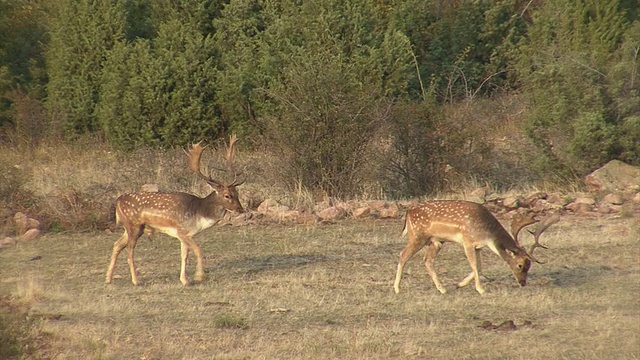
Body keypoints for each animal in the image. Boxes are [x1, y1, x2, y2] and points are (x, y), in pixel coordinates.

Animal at [105, 136, 245, 286]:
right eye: (227, 195)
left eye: (237, 193)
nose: (241, 209)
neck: (199, 213)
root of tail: (118, 200)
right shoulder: (182, 231)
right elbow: (198, 251)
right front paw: (199, 276)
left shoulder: (186, 235)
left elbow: (184, 256)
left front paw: (184, 280)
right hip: (134, 225)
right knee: (129, 251)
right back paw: (136, 281)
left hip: (132, 228)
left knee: (117, 244)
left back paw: (108, 278)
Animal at [390, 200, 556, 296]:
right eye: (520, 264)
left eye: (529, 266)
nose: (523, 283)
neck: (487, 234)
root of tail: (408, 214)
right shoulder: (467, 241)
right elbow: (474, 265)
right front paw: (481, 289)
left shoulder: (478, 246)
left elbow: (480, 267)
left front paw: (459, 284)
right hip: (418, 237)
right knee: (403, 255)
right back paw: (397, 289)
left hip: (436, 241)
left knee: (427, 260)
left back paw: (442, 289)